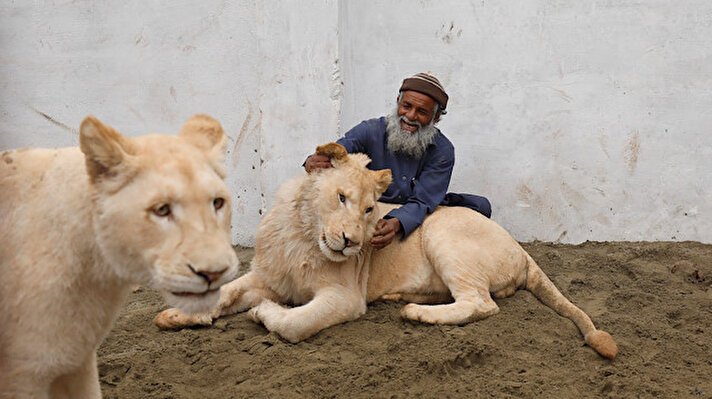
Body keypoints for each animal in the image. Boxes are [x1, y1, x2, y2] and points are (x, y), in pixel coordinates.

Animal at [154, 143, 616, 360]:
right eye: (341, 197)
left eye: (369, 209)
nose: (352, 243)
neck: (304, 234)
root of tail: (522, 251)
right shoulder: (269, 275)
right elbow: (227, 292)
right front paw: (177, 316)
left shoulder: (345, 297)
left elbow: (294, 324)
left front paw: (265, 313)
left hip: (443, 234)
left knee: (481, 304)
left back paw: (417, 313)